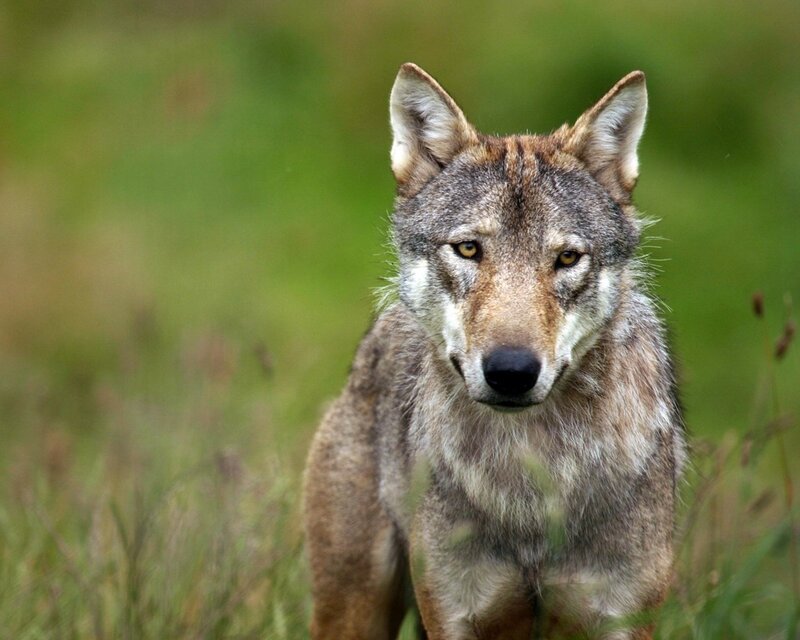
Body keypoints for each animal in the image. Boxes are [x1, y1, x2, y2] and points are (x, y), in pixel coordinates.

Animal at [304, 63, 686, 639]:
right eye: (468, 249)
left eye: (567, 258)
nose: (510, 371)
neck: (527, 483)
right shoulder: (454, 615)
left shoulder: (624, 618)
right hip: (355, 611)